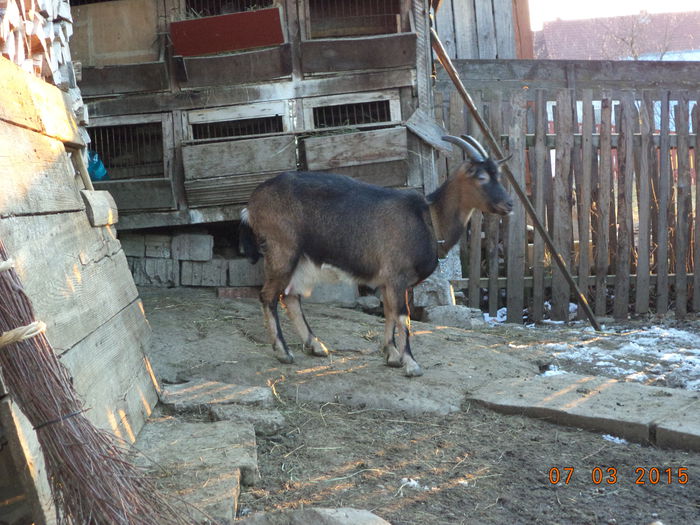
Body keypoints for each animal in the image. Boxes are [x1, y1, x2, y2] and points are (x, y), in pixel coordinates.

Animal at [238, 133, 512, 374]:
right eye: (481, 177)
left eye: (498, 175)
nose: (508, 204)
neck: (428, 218)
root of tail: (253, 202)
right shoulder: (396, 276)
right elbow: (403, 317)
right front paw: (410, 363)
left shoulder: (388, 281)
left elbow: (389, 313)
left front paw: (391, 355)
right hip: (282, 250)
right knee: (268, 296)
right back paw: (283, 352)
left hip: (303, 261)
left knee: (291, 296)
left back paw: (316, 346)